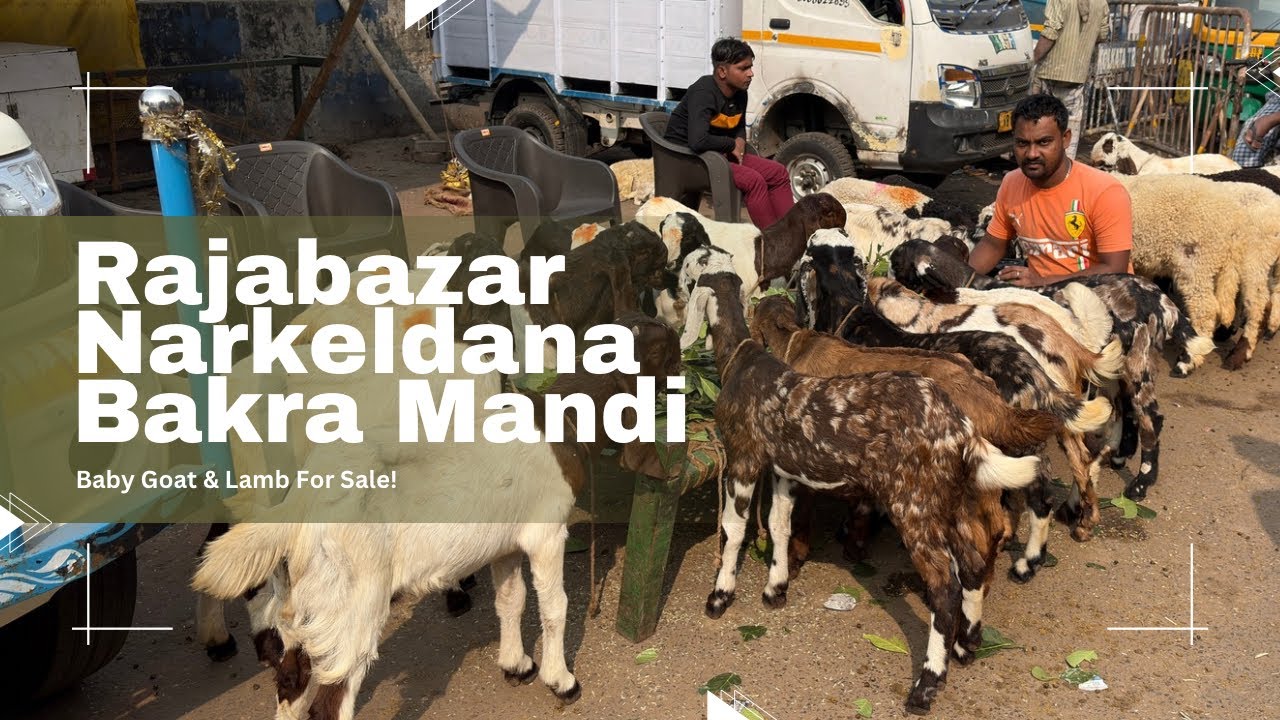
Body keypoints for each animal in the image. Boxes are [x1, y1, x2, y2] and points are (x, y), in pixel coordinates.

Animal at [193, 312, 684, 720]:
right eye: (664, 352)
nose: (683, 380)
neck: (561, 419)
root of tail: (297, 511)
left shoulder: (504, 542)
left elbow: (512, 599)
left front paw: (516, 664)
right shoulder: (545, 531)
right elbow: (555, 606)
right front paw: (560, 680)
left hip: (305, 606)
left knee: (291, 680)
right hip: (353, 603)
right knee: (330, 700)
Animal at [678, 251, 1039, 716]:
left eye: (690, 271)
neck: (744, 362)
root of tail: (962, 428)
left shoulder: (744, 458)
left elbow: (734, 530)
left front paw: (720, 596)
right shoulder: (784, 470)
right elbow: (779, 526)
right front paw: (776, 588)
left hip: (914, 504)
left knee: (946, 587)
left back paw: (926, 685)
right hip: (953, 500)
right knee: (974, 563)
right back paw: (966, 646)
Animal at [887, 237, 1217, 505]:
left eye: (897, 260)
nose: (884, 274)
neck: (970, 286)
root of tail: (1160, 297)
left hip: (1140, 360)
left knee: (1151, 419)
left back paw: (1140, 484)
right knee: (1131, 411)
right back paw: (1121, 456)